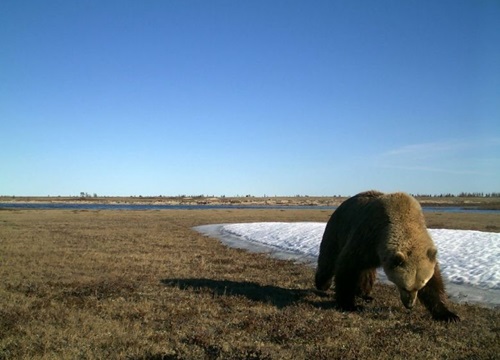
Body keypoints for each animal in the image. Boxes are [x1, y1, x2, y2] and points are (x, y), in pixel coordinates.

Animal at [316, 190, 460, 322]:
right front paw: (348, 304)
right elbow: (348, 267)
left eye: (420, 286)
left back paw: (365, 294)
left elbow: (435, 284)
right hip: (337, 230)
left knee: (366, 271)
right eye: (404, 286)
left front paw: (449, 315)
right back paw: (322, 284)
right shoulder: (367, 237)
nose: (410, 305)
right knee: (328, 258)